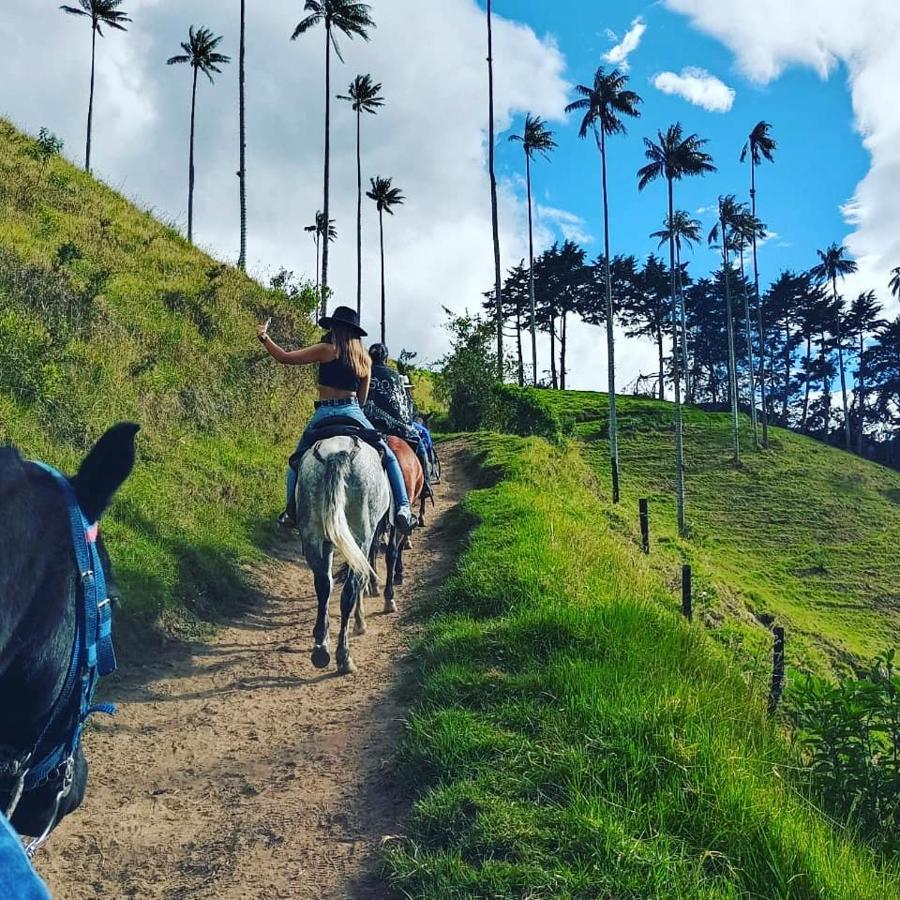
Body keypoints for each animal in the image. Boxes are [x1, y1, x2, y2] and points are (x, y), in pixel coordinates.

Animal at [298, 436, 388, 676]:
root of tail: (337, 453)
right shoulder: (366, 540)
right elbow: (361, 580)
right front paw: (360, 622)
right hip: (360, 534)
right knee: (349, 589)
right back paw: (344, 656)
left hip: (313, 536)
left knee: (323, 585)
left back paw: (321, 648)